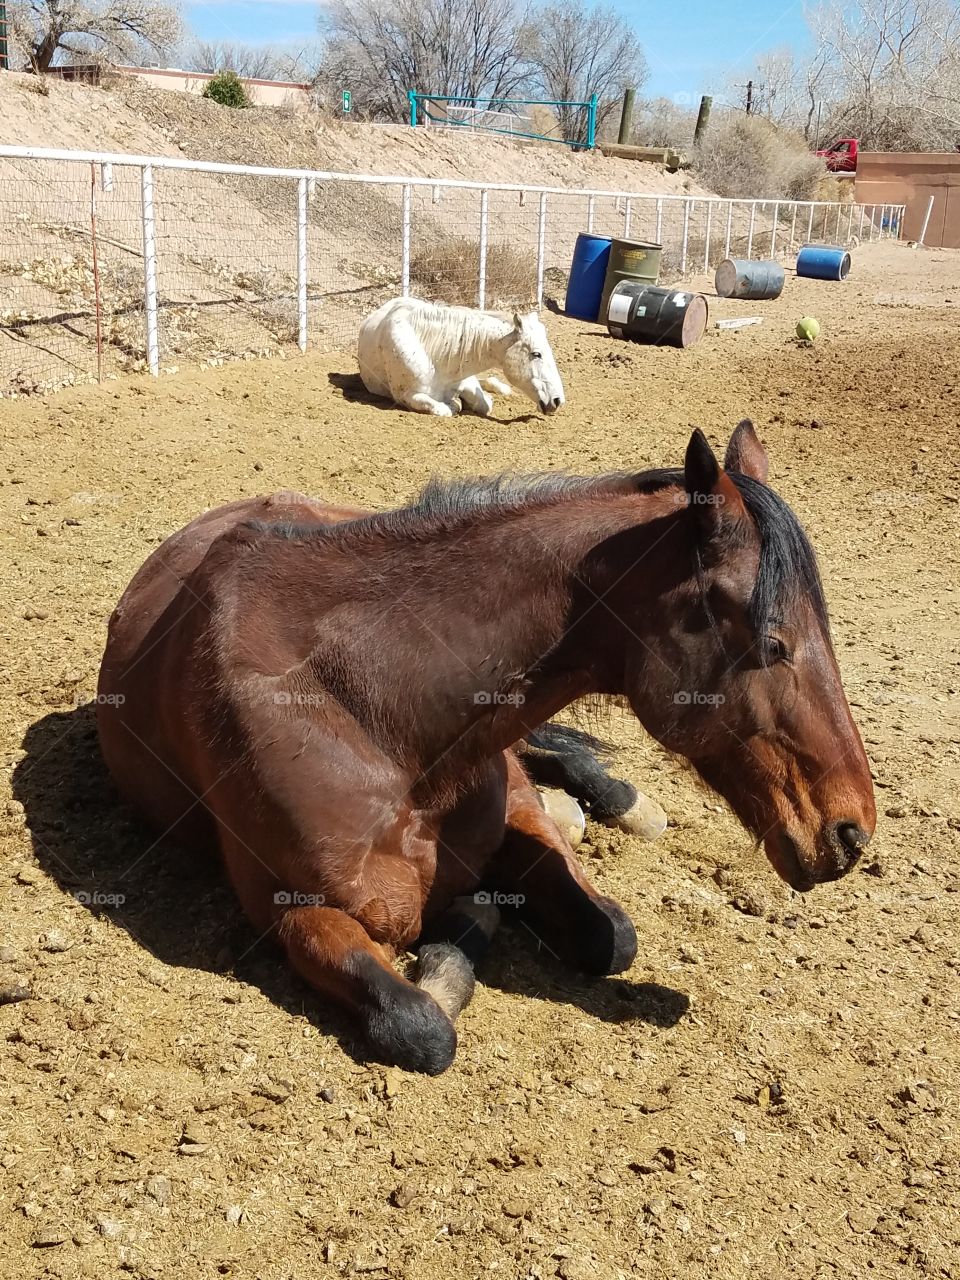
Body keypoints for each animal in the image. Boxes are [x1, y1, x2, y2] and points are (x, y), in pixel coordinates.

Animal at [97, 424, 880, 1075]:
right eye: (774, 643)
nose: (850, 832)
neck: (374, 715)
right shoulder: (292, 911)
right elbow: (420, 1026)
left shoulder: (514, 810)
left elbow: (610, 934)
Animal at [355, 296, 563, 417]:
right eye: (536, 354)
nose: (557, 400)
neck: (434, 355)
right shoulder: (408, 396)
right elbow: (445, 409)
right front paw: (455, 403)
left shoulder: (466, 380)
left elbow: (484, 403)